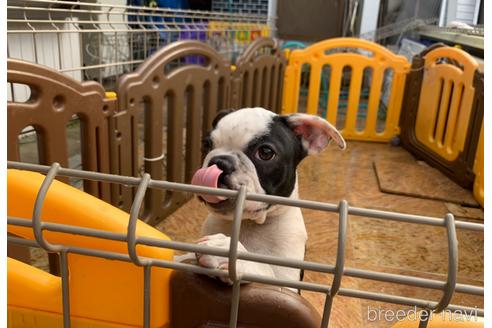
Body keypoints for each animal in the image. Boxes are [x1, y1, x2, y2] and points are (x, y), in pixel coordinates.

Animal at [190, 107, 344, 284]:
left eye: (265, 152)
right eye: (206, 144)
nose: (219, 161)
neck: (247, 223)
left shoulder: (285, 280)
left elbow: (266, 270)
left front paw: (224, 252)